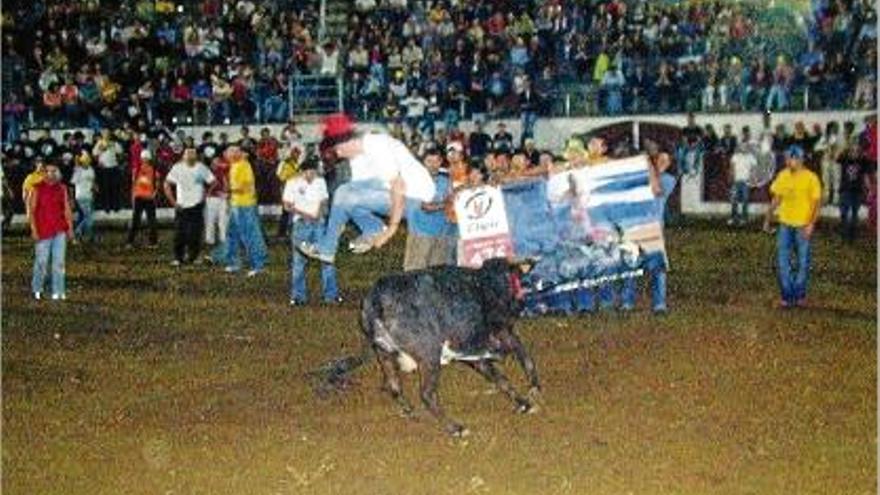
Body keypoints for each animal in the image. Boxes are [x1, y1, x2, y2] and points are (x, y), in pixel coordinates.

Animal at [310, 260, 544, 438]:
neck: (489, 284)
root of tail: (376, 300)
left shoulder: (472, 351)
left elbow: (499, 377)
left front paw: (523, 403)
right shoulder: (502, 333)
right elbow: (522, 354)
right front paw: (533, 389)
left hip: (384, 353)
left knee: (394, 386)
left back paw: (410, 412)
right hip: (429, 354)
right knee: (427, 394)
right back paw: (456, 428)